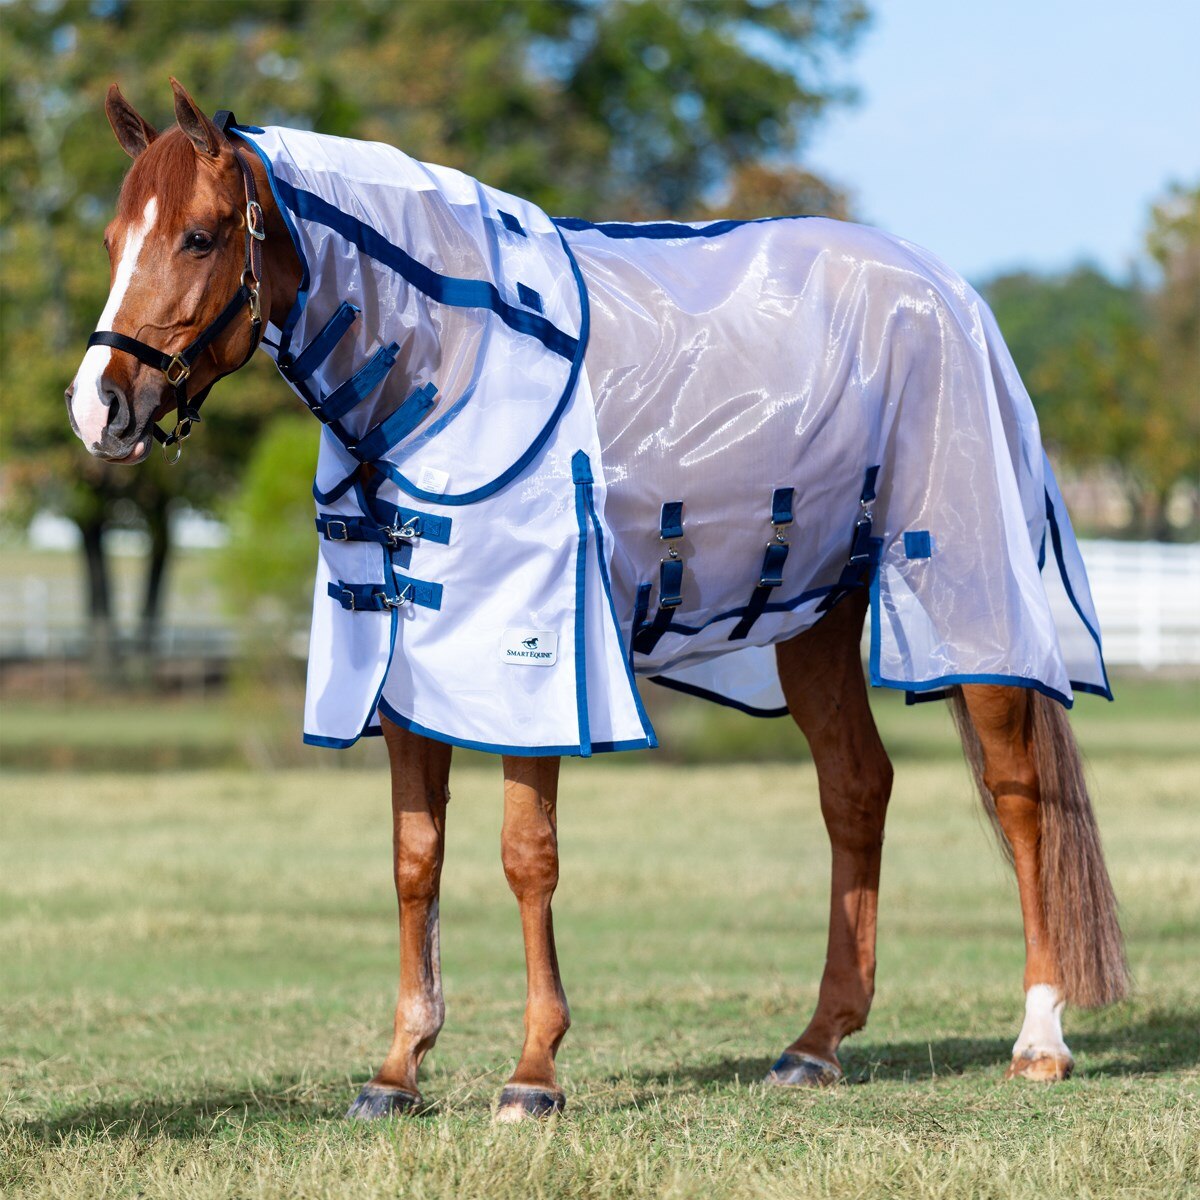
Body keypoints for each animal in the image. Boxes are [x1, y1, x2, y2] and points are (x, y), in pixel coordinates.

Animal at [66, 79, 1128, 1122]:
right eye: (114, 240)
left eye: (200, 236)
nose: (97, 407)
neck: (458, 363)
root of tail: (950, 292)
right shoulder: (406, 664)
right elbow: (417, 858)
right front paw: (399, 1069)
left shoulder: (532, 660)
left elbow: (525, 855)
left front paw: (533, 1071)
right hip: (815, 617)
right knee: (856, 791)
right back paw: (817, 1044)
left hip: (969, 602)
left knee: (1019, 797)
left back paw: (1040, 1039)